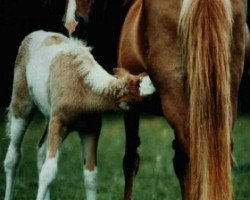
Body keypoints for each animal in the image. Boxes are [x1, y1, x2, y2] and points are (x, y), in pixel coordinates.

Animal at [3, 30, 154, 200]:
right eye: (146, 97)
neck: (83, 89)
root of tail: (34, 34)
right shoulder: (59, 122)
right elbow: (49, 172)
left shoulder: (91, 128)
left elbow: (91, 175)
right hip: (22, 104)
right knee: (13, 157)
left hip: (50, 116)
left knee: (41, 150)